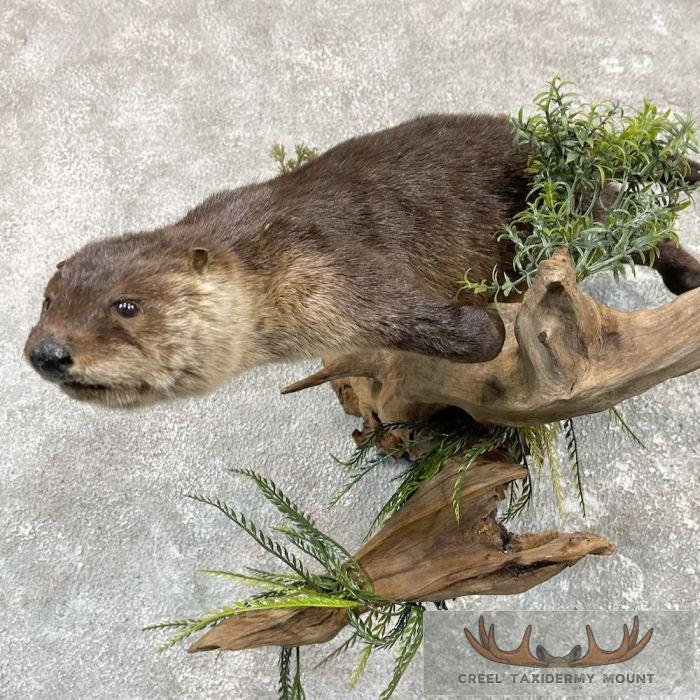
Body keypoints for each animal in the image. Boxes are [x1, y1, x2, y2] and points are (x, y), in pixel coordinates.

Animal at [24, 114, 700, 408]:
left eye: (126, 306)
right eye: (47, 301)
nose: (47, 352)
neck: (265, 259)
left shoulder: (340, 270)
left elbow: (477, 334)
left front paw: (486, 317)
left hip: (572, 201)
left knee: (638, 225)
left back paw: (686, 276)